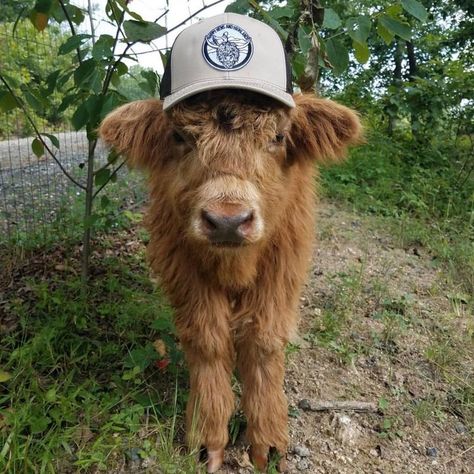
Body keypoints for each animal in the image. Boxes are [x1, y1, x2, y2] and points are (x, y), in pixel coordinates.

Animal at [99, 12, 360, 474]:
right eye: (180, 137)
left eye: (278, 137)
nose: (227, 220)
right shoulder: (183, 266)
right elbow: (207, 341)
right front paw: (207, 438)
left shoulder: (283, 265)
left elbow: (264, 343)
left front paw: (268, 441)